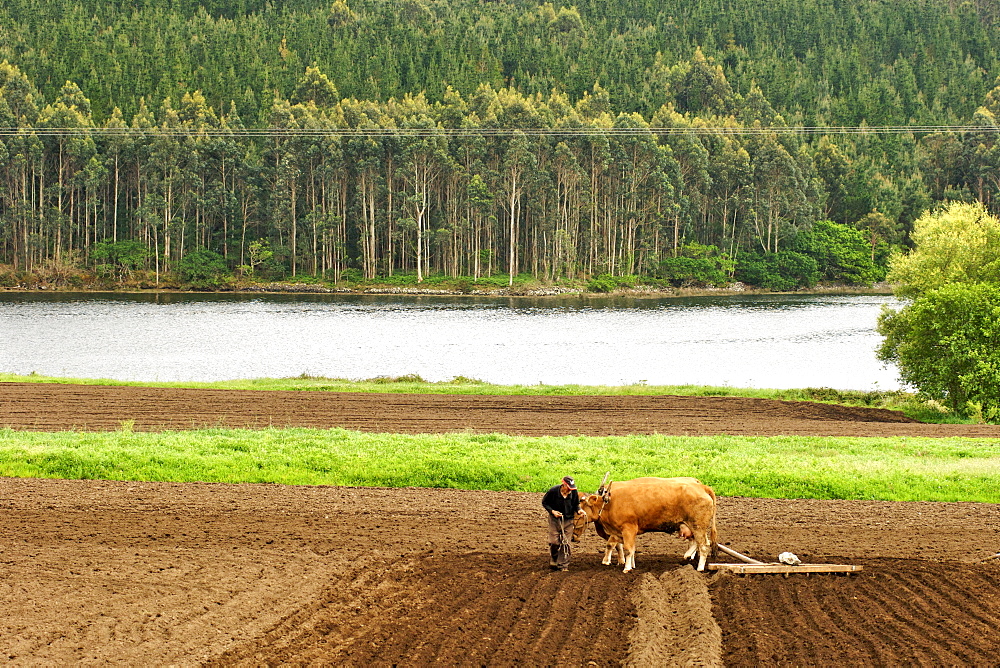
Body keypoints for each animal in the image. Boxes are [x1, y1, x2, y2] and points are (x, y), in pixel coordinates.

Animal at [576, 478, 716, 572]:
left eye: (579, 511)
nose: (573, 536)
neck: (609, 503)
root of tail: (702, 487)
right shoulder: (620, 532)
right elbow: (626, 548)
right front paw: (629, 564)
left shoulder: (628, 529)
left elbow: (627, 548)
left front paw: (626, 567)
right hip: (691, 526)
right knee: (697, 542)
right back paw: (688, 556)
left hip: (698, 526)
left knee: (704, 545)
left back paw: (700, 568)